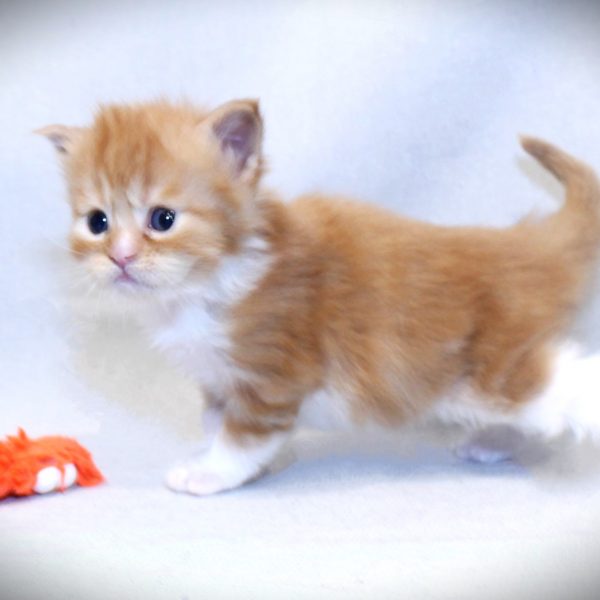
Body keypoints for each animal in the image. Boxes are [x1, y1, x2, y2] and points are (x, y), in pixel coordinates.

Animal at [38, 99, 600, 495]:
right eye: (97, 222)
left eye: (163, 219)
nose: (121, 257)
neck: (206, 285)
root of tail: (525, 246)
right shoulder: (220, 379)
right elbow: (217, 423)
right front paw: (239, 461)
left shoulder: (272, 374)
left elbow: (242, 436)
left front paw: (211, 473)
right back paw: (492, 443)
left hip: (493, 369)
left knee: (557, 382)